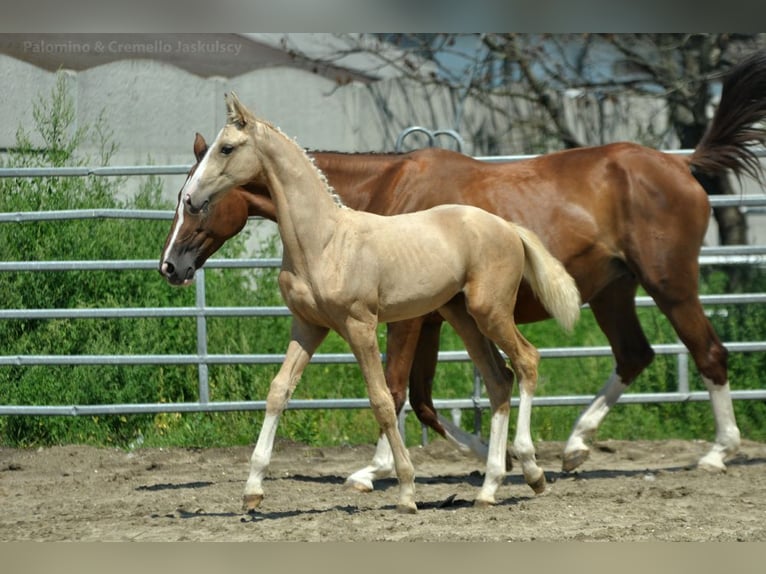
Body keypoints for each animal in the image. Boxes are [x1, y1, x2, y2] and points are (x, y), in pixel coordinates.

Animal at [180, 93, 584, 512]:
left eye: (227, 148)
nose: (192, 199)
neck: (323, 242)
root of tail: (507, 226)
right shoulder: (308, 326)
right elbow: (278, 392)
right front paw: (253, 490)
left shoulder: (361, 326)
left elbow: (382, 399)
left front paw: (405, 489)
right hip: (463, 316)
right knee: (498, 379)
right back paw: (489, 488)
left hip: (490, 312)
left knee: (526, 361)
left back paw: (533, 470)